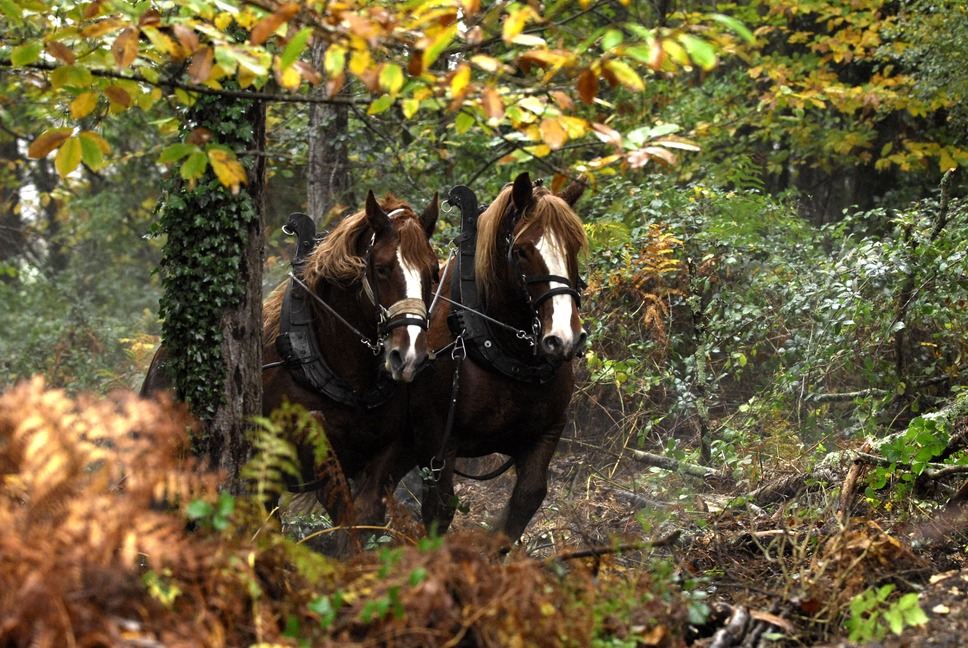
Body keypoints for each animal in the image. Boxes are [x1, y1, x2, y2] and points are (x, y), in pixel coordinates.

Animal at [382, 171, 588, 540]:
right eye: (521, 251)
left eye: (574, 246)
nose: (564, 338)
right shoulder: (437, 442)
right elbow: (439, 510)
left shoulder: (546, 432)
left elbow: (528, 497)